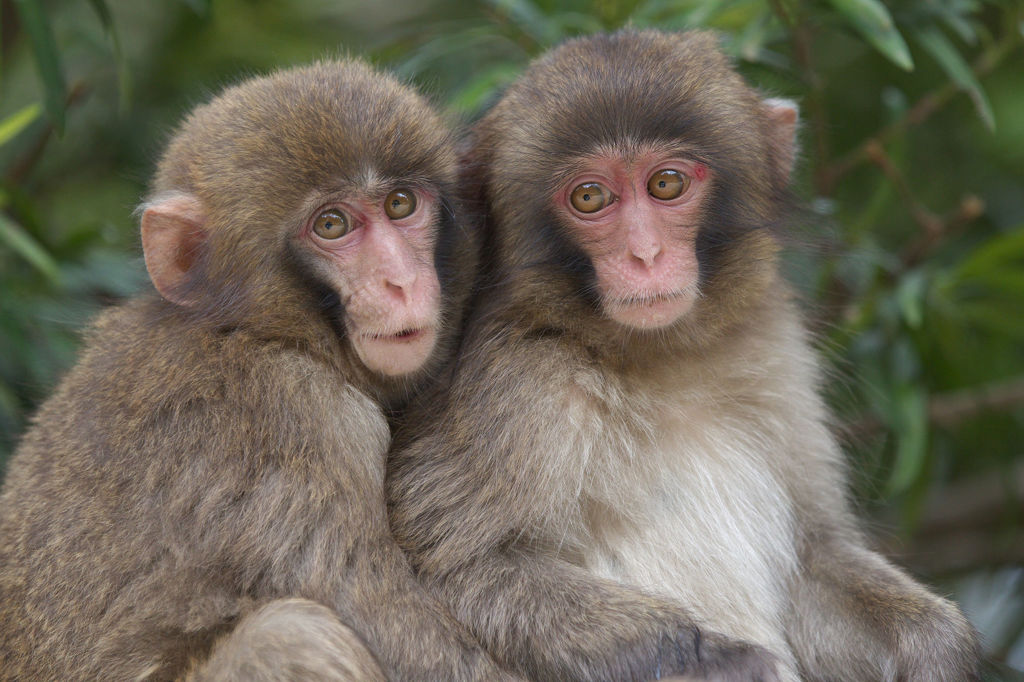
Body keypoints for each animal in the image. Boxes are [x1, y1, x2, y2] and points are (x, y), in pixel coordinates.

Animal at [0, 59, 512, 679]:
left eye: (399, 205)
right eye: (332, 225)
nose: (402, 281)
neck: (249, 330)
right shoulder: (292, 419)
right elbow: (405, 637)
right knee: (289, 634)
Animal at [387, 27, 978, 679]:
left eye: (666, 184)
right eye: (590, 197)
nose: (645, 255)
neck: (660, 360)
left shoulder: (779, 353)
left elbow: (813, 557)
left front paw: (936, 646)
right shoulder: (519, 385)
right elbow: (460, 568)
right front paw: (729, 660)